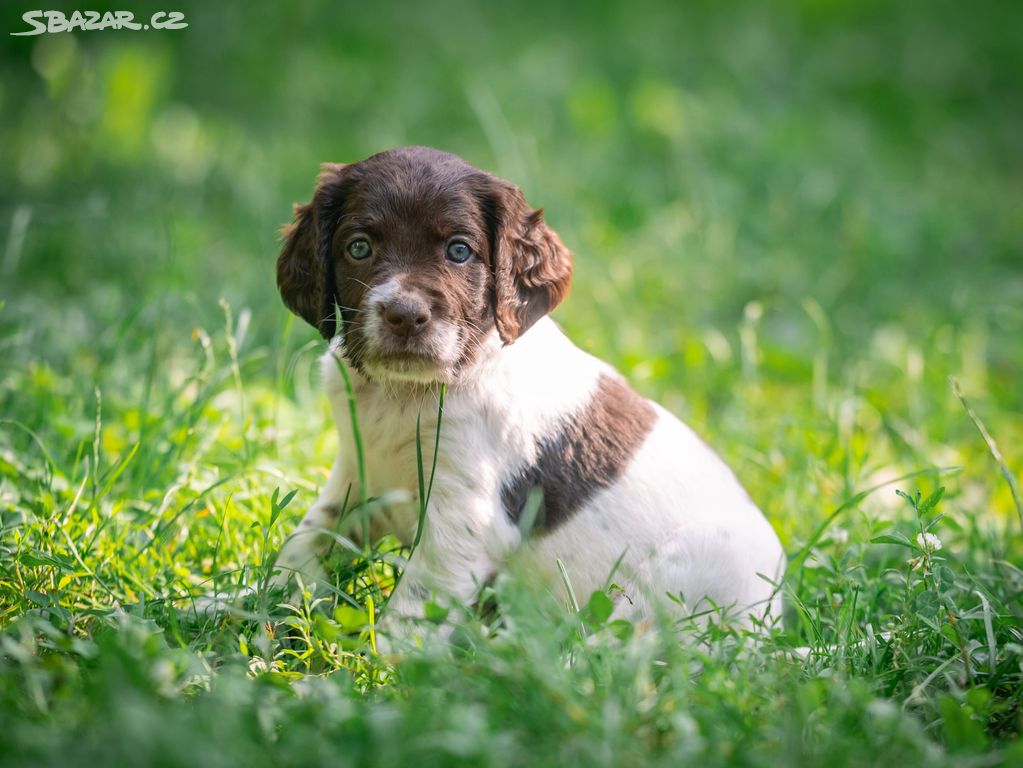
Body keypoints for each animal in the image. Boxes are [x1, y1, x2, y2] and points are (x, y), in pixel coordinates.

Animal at [272, 147, 781, 638]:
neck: (406, 393)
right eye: (359, 247)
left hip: (683, 574)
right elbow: (304, 542)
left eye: (459, 251)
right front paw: (265, 610)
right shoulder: (358, 478)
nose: (404, 315)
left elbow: (413, 611)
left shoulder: (463, 521)